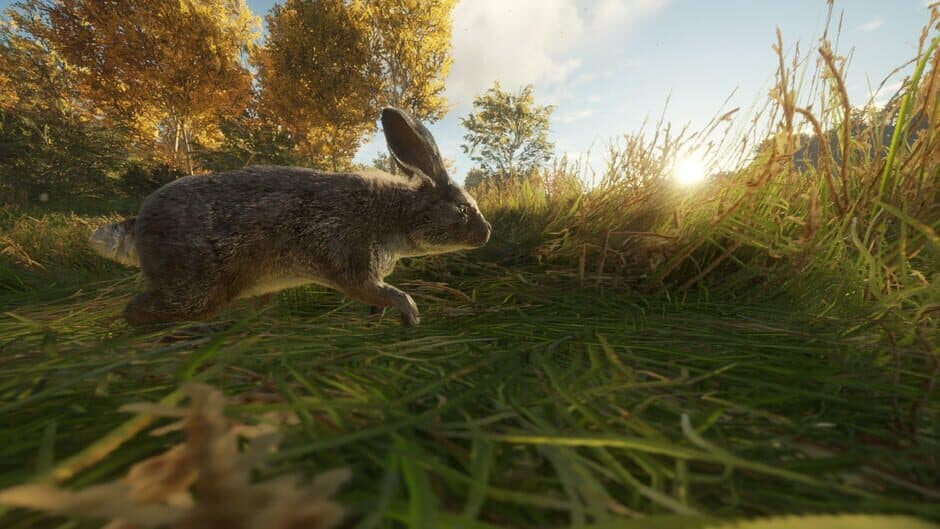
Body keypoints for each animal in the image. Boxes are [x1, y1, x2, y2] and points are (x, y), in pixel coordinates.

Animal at [89, 107, 492, 327]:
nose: (486, 233)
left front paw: (375, 320)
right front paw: (411, 315)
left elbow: (376, 298)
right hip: (196, 286)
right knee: (138, 312)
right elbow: (381, 291)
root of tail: (138, 222)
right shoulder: (350, 260)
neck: (394, 212)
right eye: (461, 209)